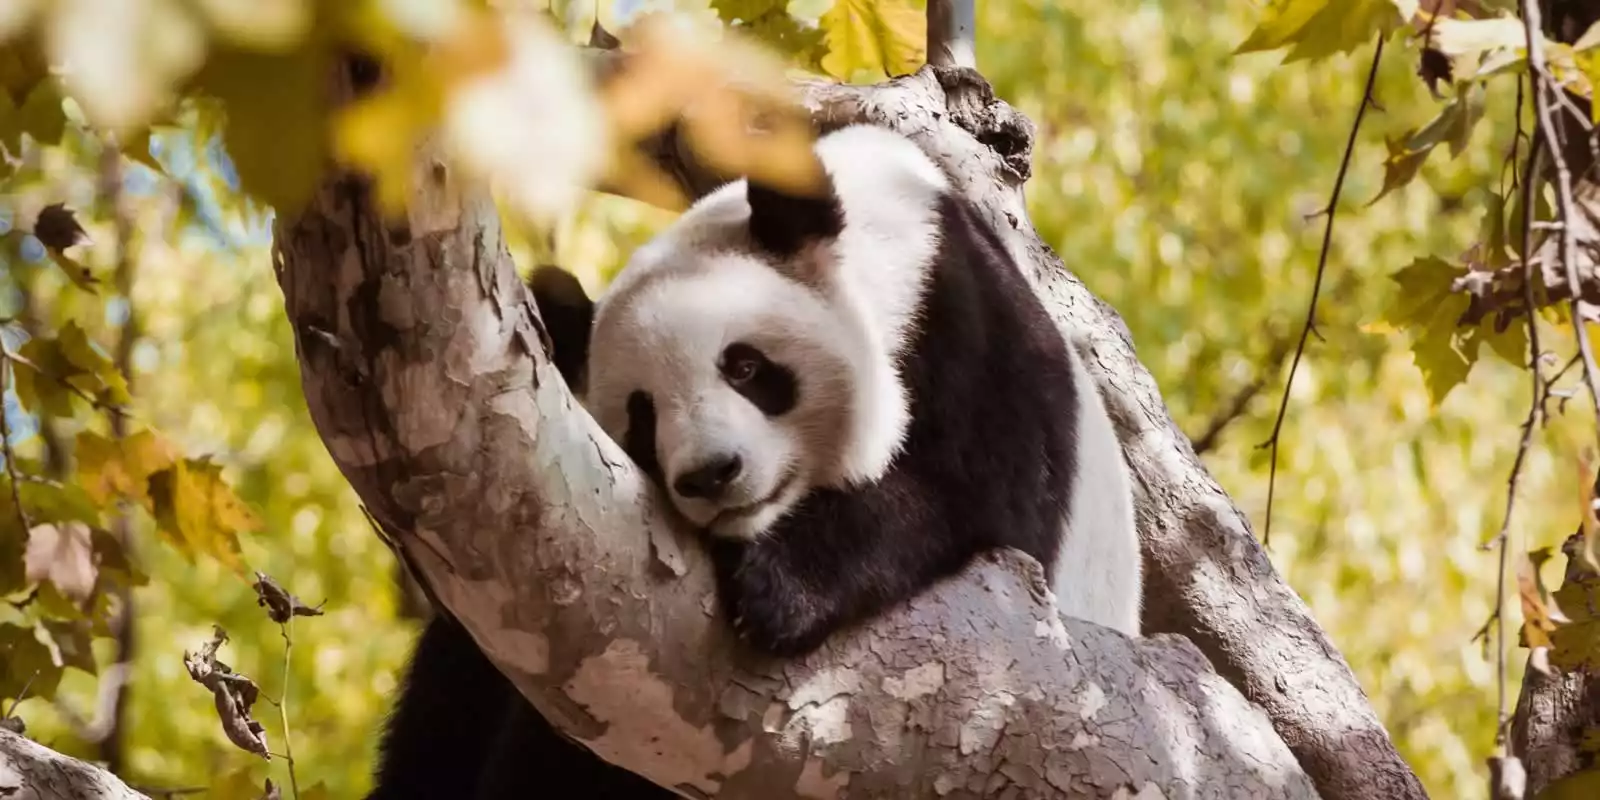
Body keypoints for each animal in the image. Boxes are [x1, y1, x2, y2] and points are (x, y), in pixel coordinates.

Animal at [367, 124, 1142, 799]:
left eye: (744, 367)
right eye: (642, 416)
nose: (711, 474)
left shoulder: (969, 328)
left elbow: (972, 496)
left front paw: (778, 588)